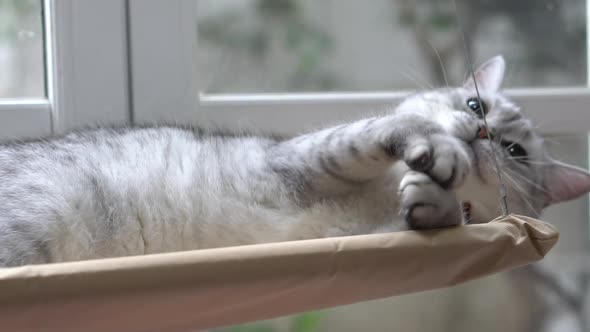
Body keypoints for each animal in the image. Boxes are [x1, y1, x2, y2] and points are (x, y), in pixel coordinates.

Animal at [1, 55, 590, 268]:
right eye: (474, 105)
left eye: (514, 152)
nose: (482, 130)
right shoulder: (301, 159)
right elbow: (380, 130)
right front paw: (437, 152)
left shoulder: (369, 238)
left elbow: (437, 216)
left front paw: (437, 202)